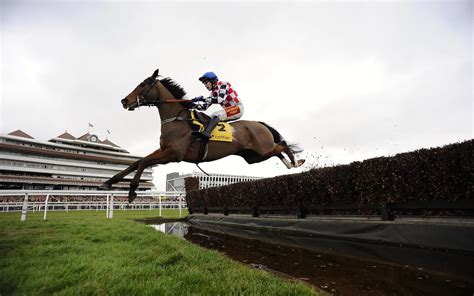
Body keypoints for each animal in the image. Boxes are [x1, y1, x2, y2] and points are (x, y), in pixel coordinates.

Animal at [102, 69, 306, 201]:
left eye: (143, 84)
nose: (124, 100)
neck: (177, 119)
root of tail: (260, 124)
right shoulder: (164, 150)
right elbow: (137, 162)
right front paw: (110, 181)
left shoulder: (174, 154)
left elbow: (144, 162)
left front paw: (131, 191)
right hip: (254, 157)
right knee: (277, 151)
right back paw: (291, 164)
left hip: (262, 149)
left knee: (283, 146)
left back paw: (296, 162)